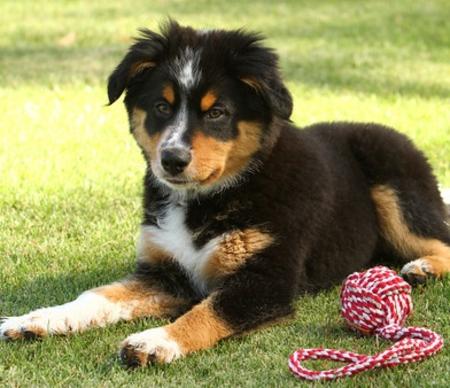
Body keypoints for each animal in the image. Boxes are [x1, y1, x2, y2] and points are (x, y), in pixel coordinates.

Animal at [0, 21, 450, 366]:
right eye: (161, 107)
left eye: (217, 112)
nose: (172, 160)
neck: (205, 200)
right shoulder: (165, 273)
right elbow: (97, 297)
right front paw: (36, 320)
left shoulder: (266, 280)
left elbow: (208, 311)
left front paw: (156, 340)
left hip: (396, 191)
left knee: (438, 239)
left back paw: (423, 268)